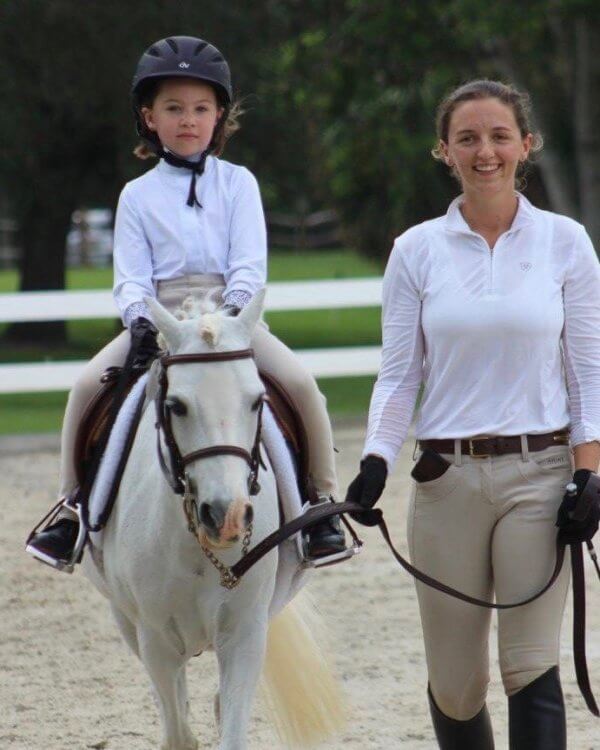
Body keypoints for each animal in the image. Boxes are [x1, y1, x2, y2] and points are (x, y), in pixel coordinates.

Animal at [85, 290, 346, 748]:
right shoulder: (155, 640)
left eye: (258, 401)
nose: (226, 516)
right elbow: (178, 733)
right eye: (176, 406)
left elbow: (232, 732)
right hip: (128, 622)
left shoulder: (245, 634)